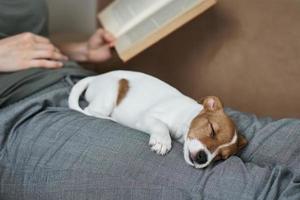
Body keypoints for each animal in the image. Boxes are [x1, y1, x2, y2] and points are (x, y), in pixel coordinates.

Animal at [69, 70, 247, 169]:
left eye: (221, 157)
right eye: (212, 129)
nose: (202, 158)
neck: (185, 118)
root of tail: (95, 77)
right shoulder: (147, 116)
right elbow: (161, 125)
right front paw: (162, 142)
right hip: (110, 94)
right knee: (90, 110)